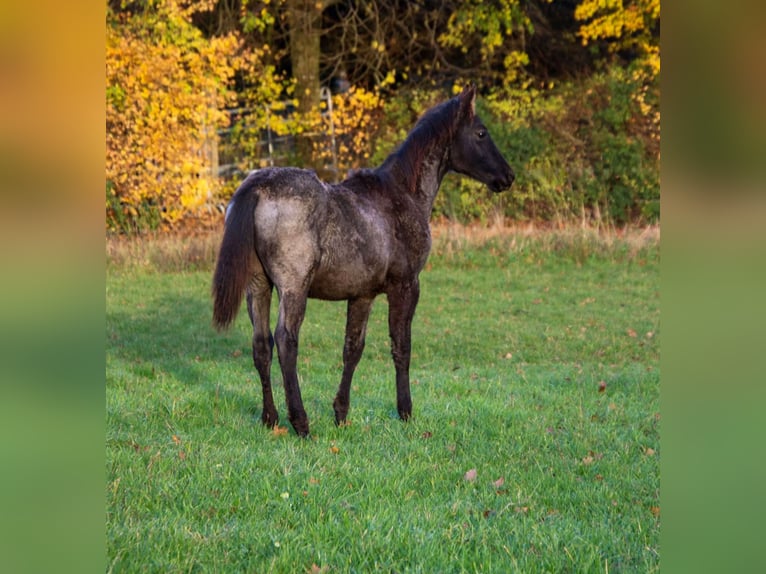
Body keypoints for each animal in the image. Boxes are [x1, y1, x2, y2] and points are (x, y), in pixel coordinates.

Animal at [212, 84, 514, 437]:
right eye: (481, 133)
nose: (508, 176)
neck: (401, 194)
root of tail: (257, 187)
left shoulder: (362, 295)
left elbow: (352, 350)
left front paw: (341, 413)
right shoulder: (406, 286)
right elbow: (401, 346)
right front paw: (405, 411)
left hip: (259, 286)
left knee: (261, 346)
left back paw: (270, 418)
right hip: (293, 288)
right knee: (286, 342)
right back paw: (300, 422)